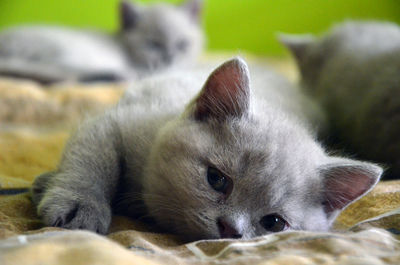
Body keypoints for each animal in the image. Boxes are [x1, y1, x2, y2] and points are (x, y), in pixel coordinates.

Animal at [0, 0, 203, 84]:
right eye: (153, 44)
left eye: (182, 44)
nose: (170, 57)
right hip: (69, 51)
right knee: (60, 73)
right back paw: (118, 75)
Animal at [31, 57, 382, 239]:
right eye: (217, 179)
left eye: (273, 223)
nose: (230, 229)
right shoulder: (117, 121)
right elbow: (95, 160)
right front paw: (81, 206)